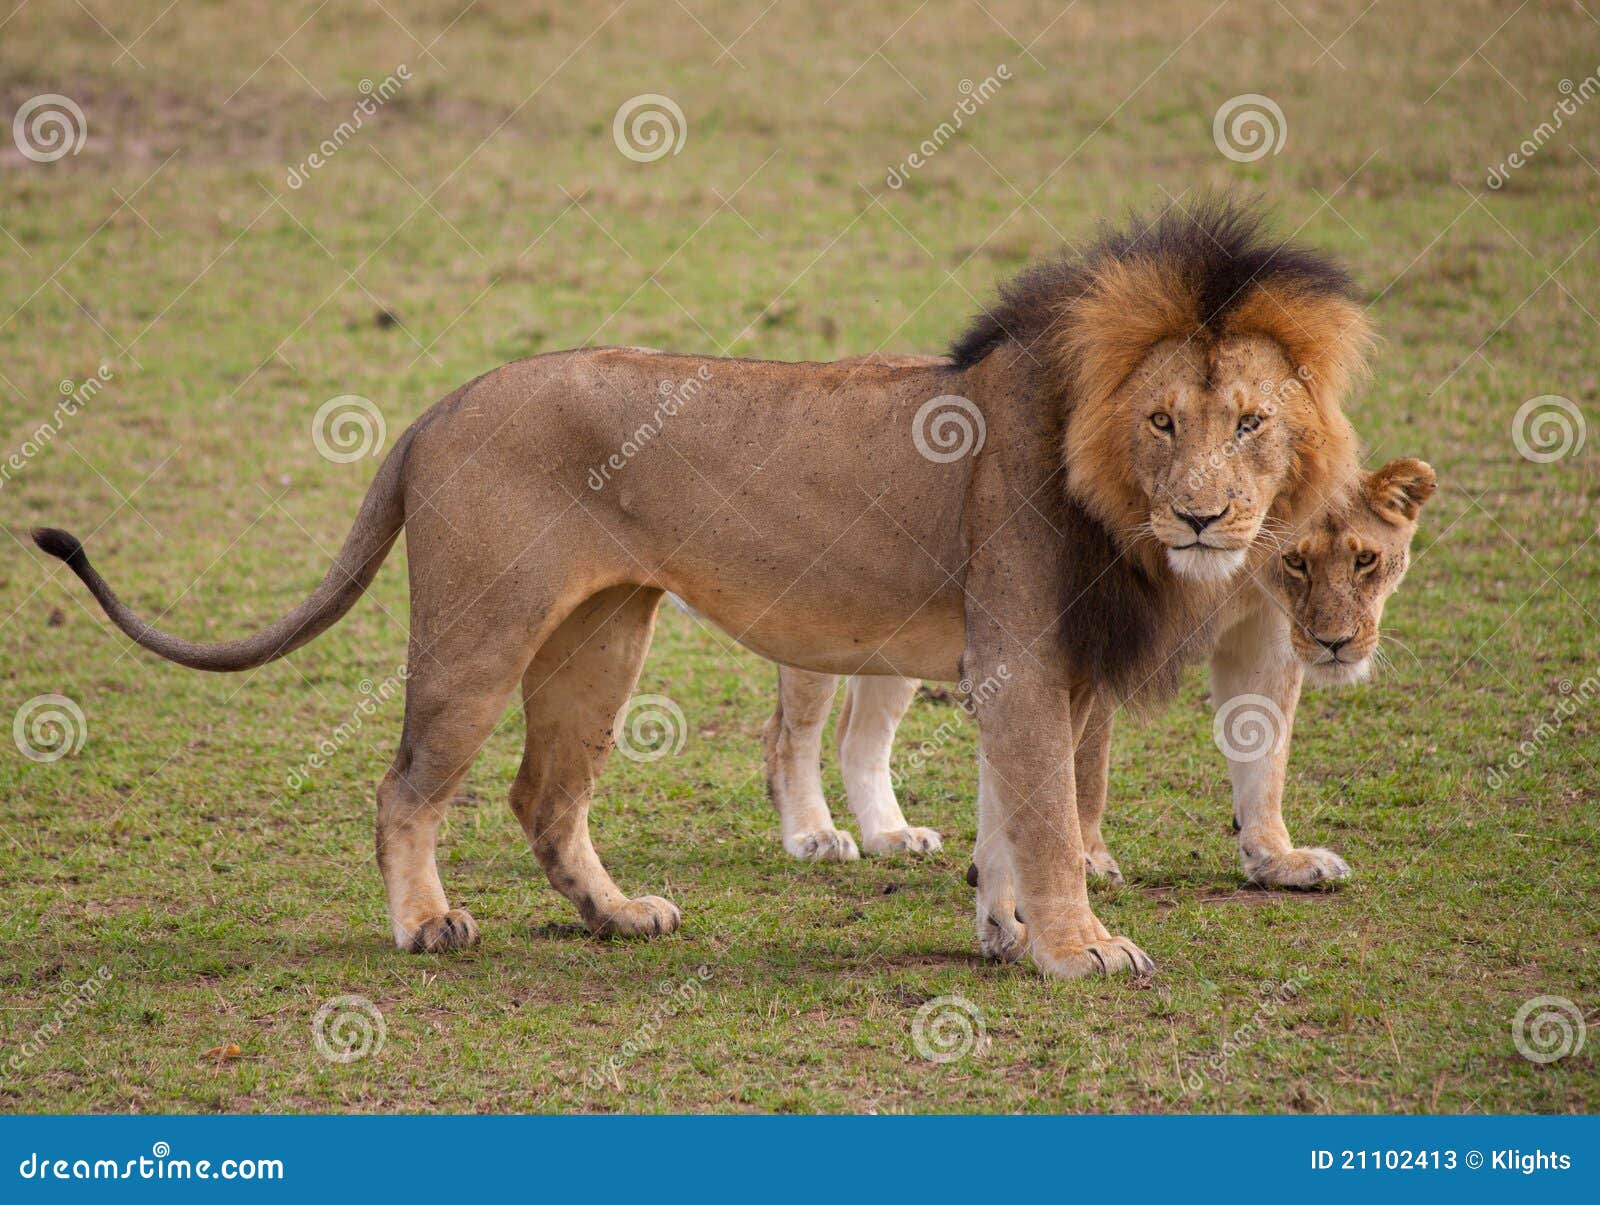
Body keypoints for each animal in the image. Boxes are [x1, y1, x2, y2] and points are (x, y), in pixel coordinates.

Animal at [31, 204, 1369, 979]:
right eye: (1162, 420)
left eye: (1249, 422)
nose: (1203, 517)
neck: (1095, 468)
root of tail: (438, 405)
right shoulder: (1027, 660)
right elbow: (1046, 820)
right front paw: (1077, 947)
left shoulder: (1015, 669)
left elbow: (1007, 814)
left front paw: (1002, 933)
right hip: (480, 630)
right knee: (408, 782)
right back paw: (424, 924)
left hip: (599, 638)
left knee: (541, 795)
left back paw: (616, 916)